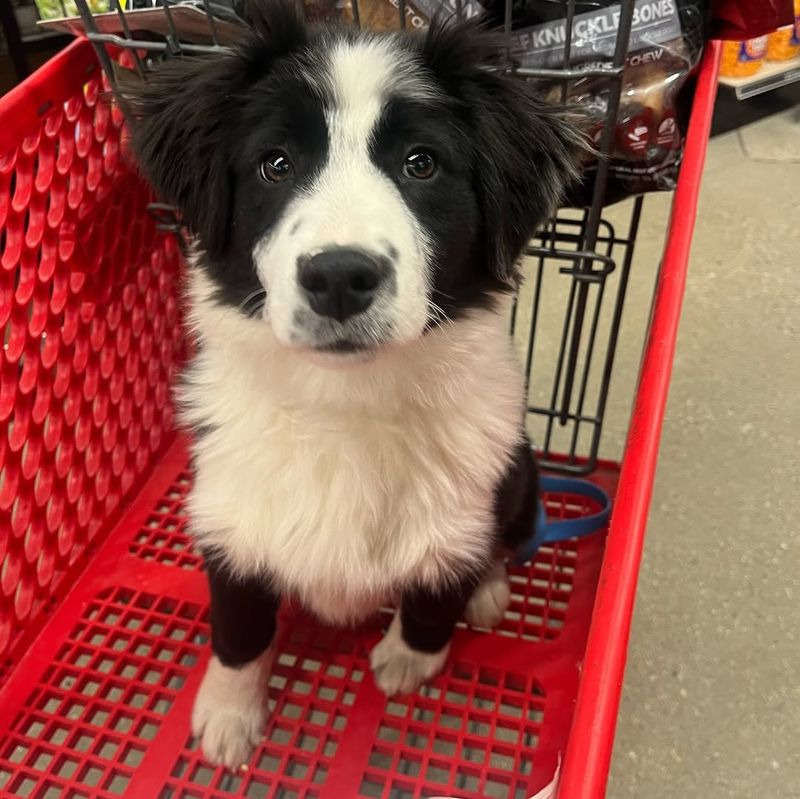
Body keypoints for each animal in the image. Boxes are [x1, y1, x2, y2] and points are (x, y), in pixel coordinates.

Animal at [125, 3, 580, 772]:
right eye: (276, 163)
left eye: (421, 162)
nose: (339, 275)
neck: (347, 402)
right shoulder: (229, 514)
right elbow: (239, 625)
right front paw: (228, 712)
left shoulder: (457, 509)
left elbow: (435, 591)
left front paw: (409, 658)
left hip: (519, 469)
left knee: (508, 534)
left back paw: (490, 589)